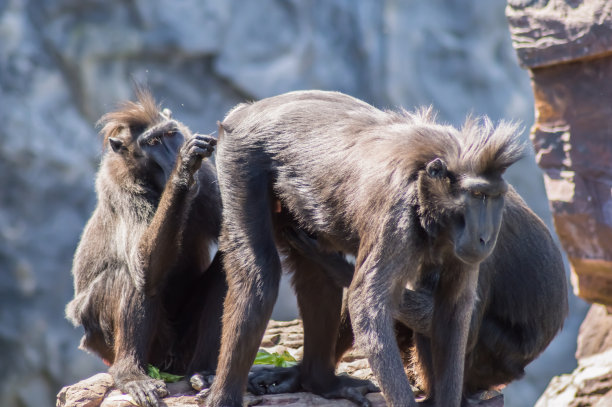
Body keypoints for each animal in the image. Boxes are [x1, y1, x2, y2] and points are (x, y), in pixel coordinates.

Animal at [65, 87, 227, 407]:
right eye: (152, 143)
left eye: (170, 134)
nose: (174, 156)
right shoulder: (120, 185)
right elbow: (143, 266)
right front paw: (182, 172)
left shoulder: (208, 178)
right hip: (115, 343)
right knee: (131, 277)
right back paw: (131, 375)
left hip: (182, 348)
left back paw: (203, 372)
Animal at [206, 90, 524, 407]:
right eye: (478, 196)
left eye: (495, 197)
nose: (486, 238)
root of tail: (249, 110)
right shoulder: (395, 214)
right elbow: (368, 308)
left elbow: (453, 315)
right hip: (241, 158)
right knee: (258, 274)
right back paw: (225, 397)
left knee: (315, 276)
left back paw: (320, 382)